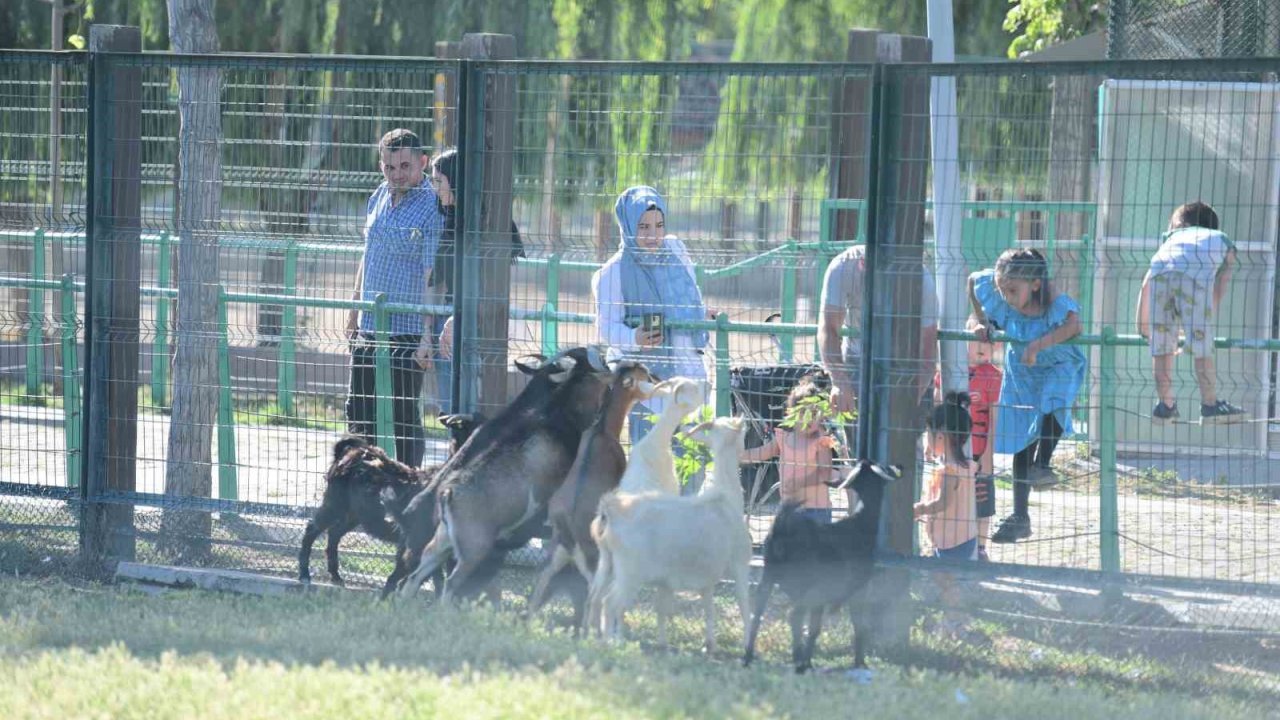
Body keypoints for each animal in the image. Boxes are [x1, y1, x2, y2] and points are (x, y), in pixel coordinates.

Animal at [296, 412, 486, 586]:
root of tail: (345, 454)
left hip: (354, 514)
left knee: (334, 533)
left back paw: (336, 576)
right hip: (335, 503)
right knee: (312, 529)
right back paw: (305, 575)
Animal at [586, 412, 752, 648]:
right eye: (743, 435)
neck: (724, 497)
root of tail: (609, 511)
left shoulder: (704, 576)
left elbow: (705, 610)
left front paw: (707, 644)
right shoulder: (739, 564)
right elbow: (744, 605)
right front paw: (747, 644)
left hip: (607, 563)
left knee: (595, 596)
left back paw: (593, 636)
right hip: (630, 572)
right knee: (610, 603)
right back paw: (612, 643)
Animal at [742, 456, 901, 671]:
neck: (860, 525)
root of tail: (782, 526)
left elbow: (814, 626)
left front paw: (807, 659)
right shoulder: (856, 590)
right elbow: (856, 625)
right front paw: (859, 663)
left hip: (768, 577)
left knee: (757, 613)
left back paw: (749, 656)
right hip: (808, 586)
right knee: (794, 616)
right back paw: (799, 661)